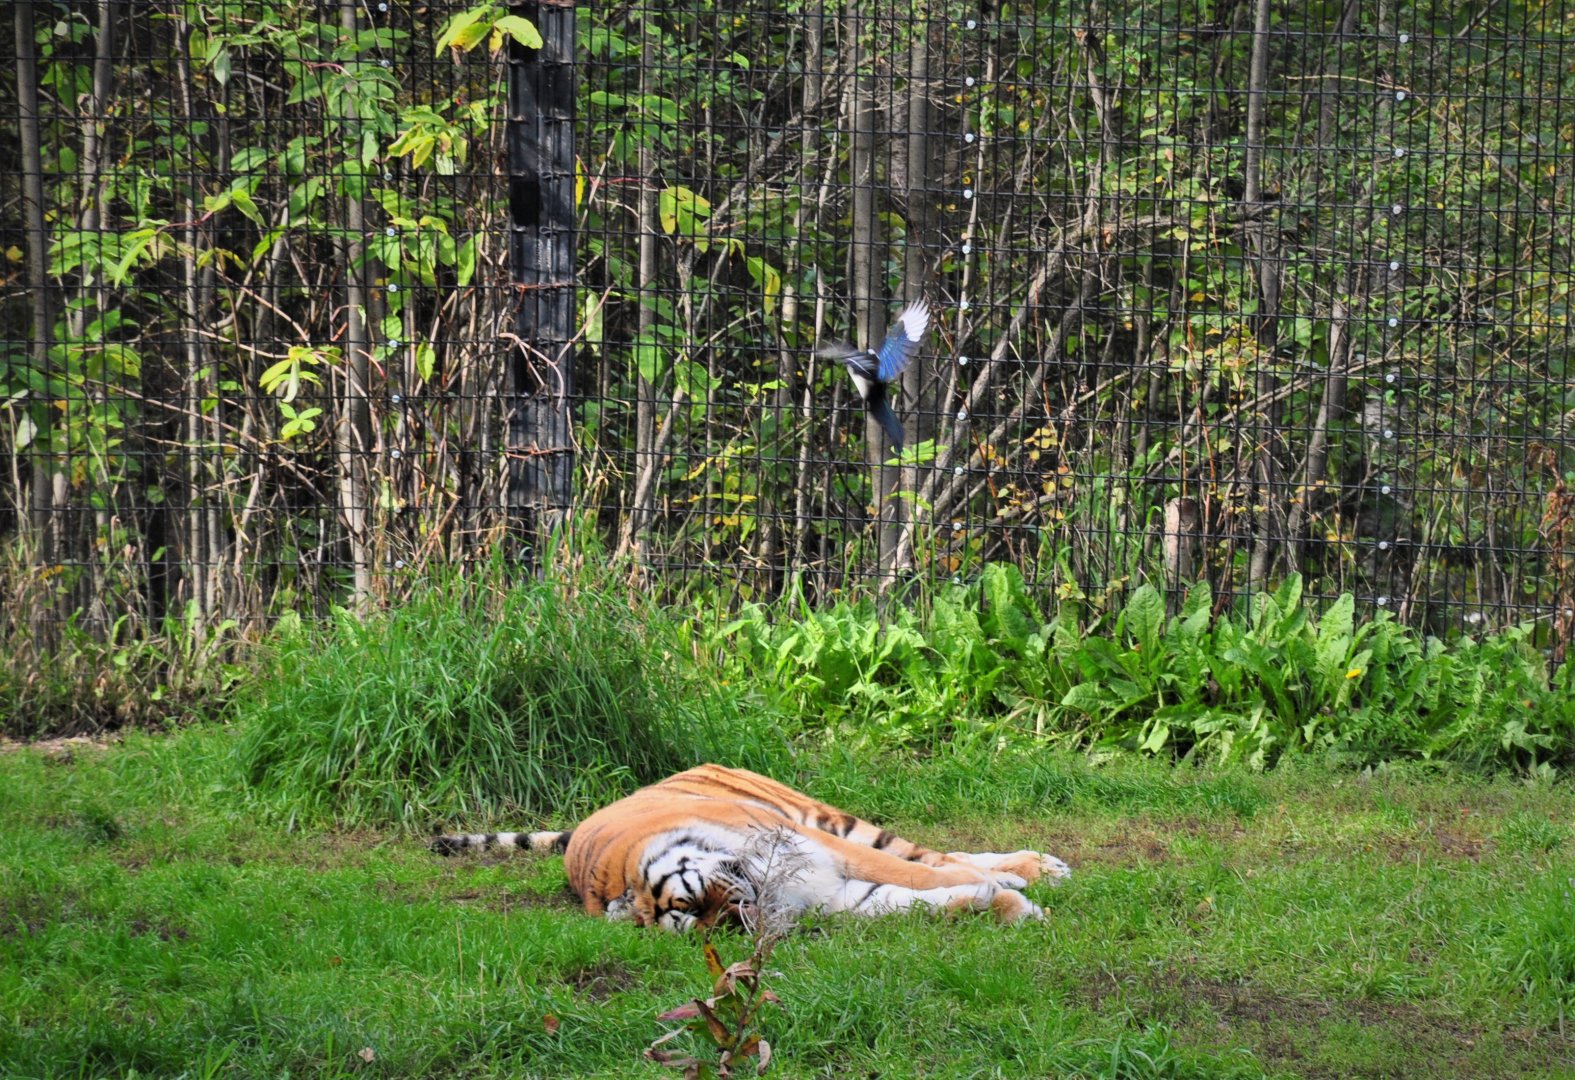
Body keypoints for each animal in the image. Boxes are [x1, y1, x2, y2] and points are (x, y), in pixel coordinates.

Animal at [432, 763, 1070, 932]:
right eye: (709, 928)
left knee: (928, 853)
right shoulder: (839, 899)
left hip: (829, 819)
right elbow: (924, 898)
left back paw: (1037, 867)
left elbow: (926, 874)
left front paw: (1014, 889)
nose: (744, 911)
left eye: (691, 895)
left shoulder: (827, 851)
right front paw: (1011, 907)